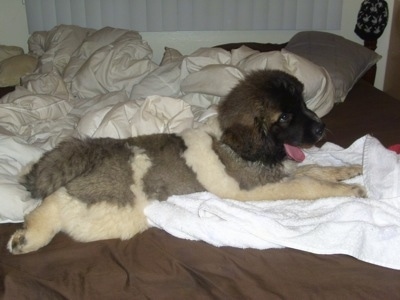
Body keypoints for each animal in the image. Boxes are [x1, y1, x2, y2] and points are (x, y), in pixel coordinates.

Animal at [7, 70, 366, 255]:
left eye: (304, 103)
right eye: (285, 117)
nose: (321, 127)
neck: (241, 146)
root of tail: (99, 147)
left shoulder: (283, 171)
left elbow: (315, 169)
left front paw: (347, 170)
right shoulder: (259, 186)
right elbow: (310, 184)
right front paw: (351, 192)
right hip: (115, 207)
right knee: (57, 204)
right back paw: (30, 237)